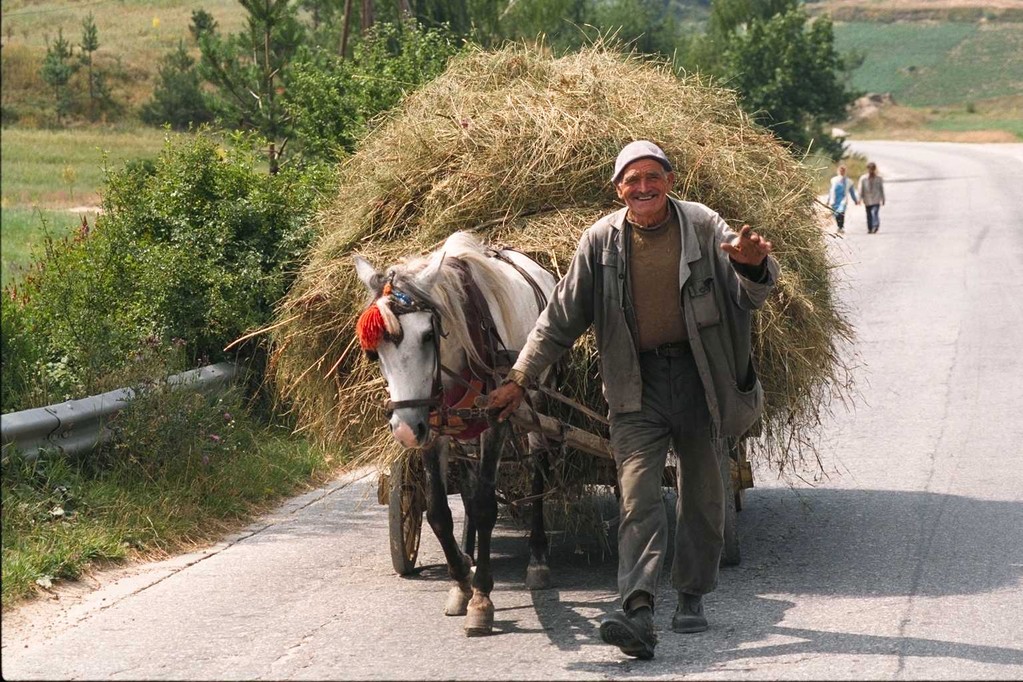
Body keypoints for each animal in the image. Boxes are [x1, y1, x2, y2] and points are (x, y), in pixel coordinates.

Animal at [353, 232, 560, 638]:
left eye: (428, 335)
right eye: (374, 350)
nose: (404, 430)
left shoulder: (496, 420)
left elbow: (484, 506)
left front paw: (481, 597)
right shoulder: (433, 427)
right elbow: (438, 511)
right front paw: (462, 577)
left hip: (535, 398)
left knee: (537, 467)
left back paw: (539, 558)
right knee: (466, 482)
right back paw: (469, 552)